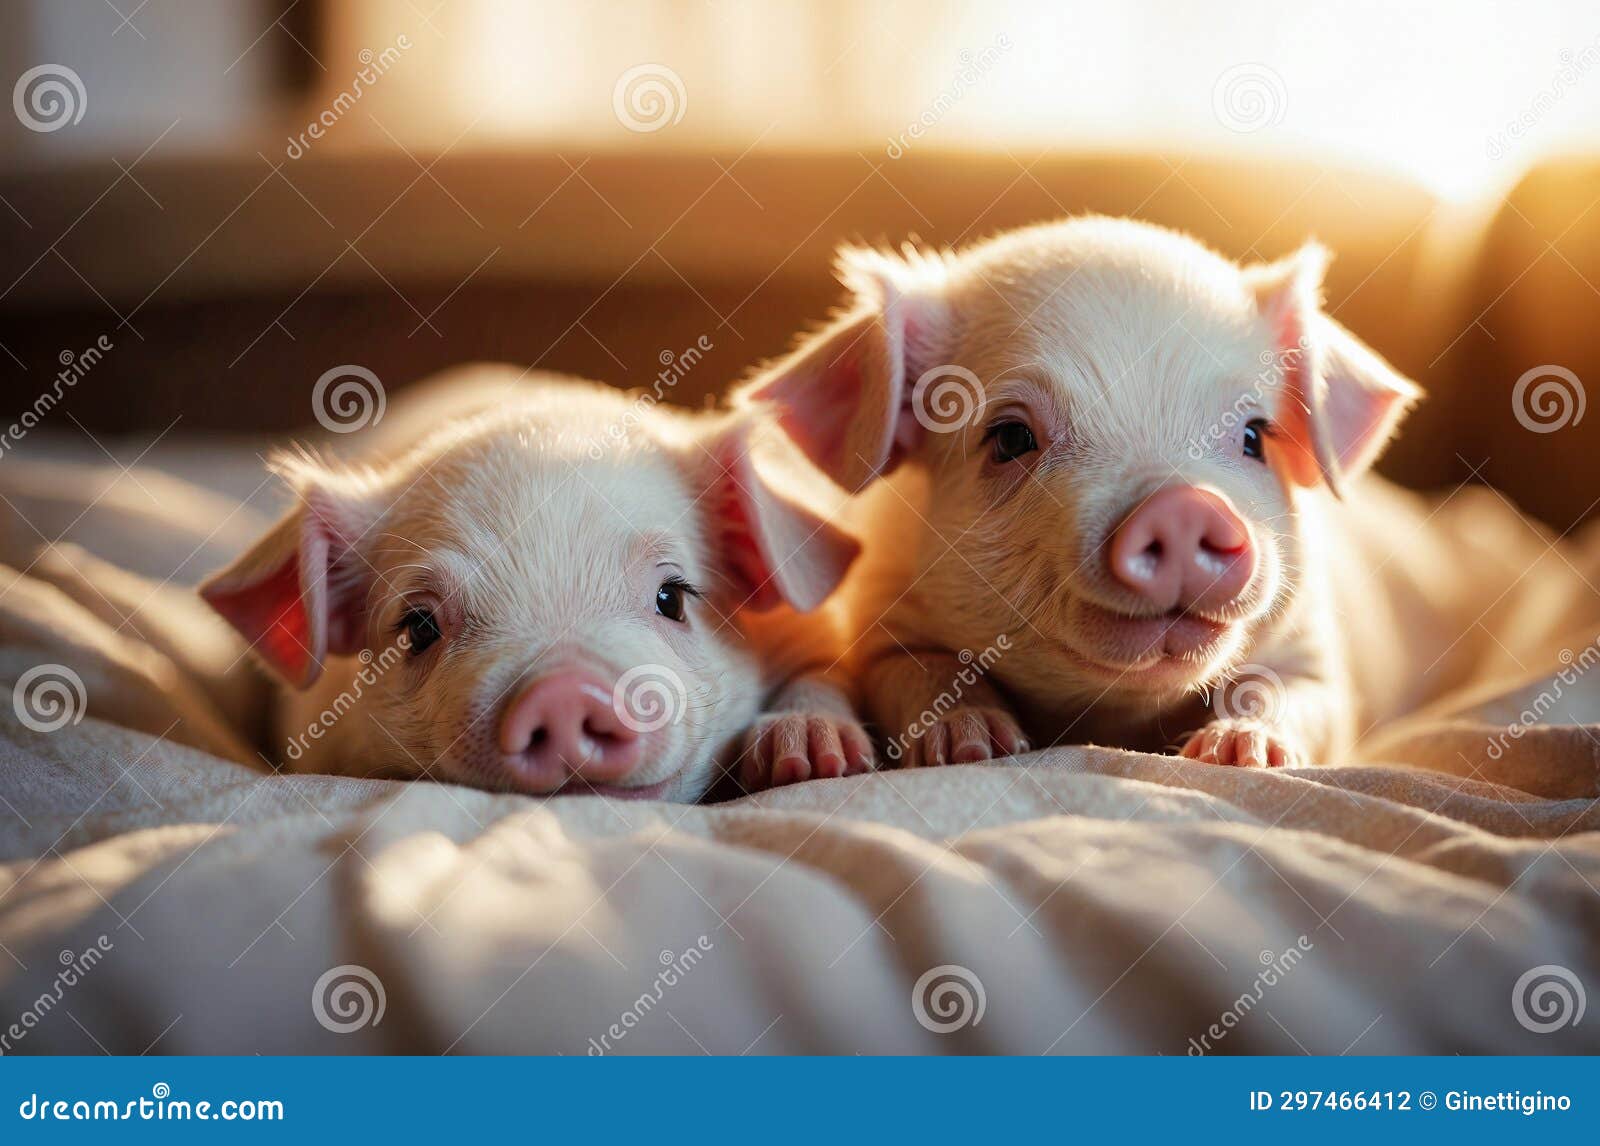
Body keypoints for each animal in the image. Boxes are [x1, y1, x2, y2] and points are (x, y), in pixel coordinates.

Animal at [736, 216, 1453, 770]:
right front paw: (975, 744)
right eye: (1010, 437)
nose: (1182, 504)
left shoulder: (1317, 649)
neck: (1110, 719)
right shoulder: (883, 622)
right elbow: (915, 670)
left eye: (1254, 435)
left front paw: (1240, 753)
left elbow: (1292, 693)